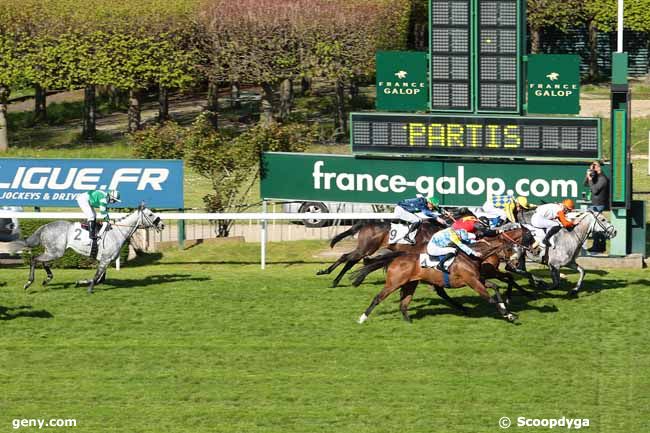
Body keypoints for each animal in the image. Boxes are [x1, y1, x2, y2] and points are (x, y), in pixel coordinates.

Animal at [22, 205, 165, 294]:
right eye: (151, 214)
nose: (162, 225)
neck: (117, 232)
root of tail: (45, 226)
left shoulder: (104, 260)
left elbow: (100, 278)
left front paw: (80, 282)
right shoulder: (105, 259)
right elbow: (97, 277)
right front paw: (89, 288)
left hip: (52, 251)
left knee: (43, 262)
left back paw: (47, 279)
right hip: (56, 252)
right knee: (34, 259)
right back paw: (29, 282)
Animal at [352, 228, 536, 322]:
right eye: (510, 248)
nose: (515, 264)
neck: (472, 256)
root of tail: (398, 256)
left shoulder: (479, 278)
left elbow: (496, 287)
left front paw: (507, 307)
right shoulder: (473, 281)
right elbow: (490, 298)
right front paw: (507, 314)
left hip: (411, 283)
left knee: (404, 304)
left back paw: (410, 322)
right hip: (394, 283)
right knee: (378, 298)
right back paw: (362, 318)